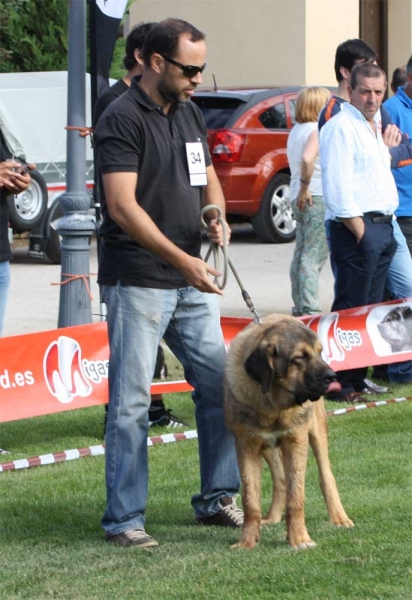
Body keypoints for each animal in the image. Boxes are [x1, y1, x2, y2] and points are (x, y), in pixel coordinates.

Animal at [225, 316, 354, 552]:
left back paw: (339, 518)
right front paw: (246, 542)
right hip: (267, 448)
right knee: (280, 480)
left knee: (326, 475)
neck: (273, 404)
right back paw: (273, 517)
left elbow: (296, 497)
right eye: (299, 357)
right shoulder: (247, 446)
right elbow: (251, 500)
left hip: (316, 431)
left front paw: (299, 539)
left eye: (320, 353)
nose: (332, 376)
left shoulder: (296, 441)